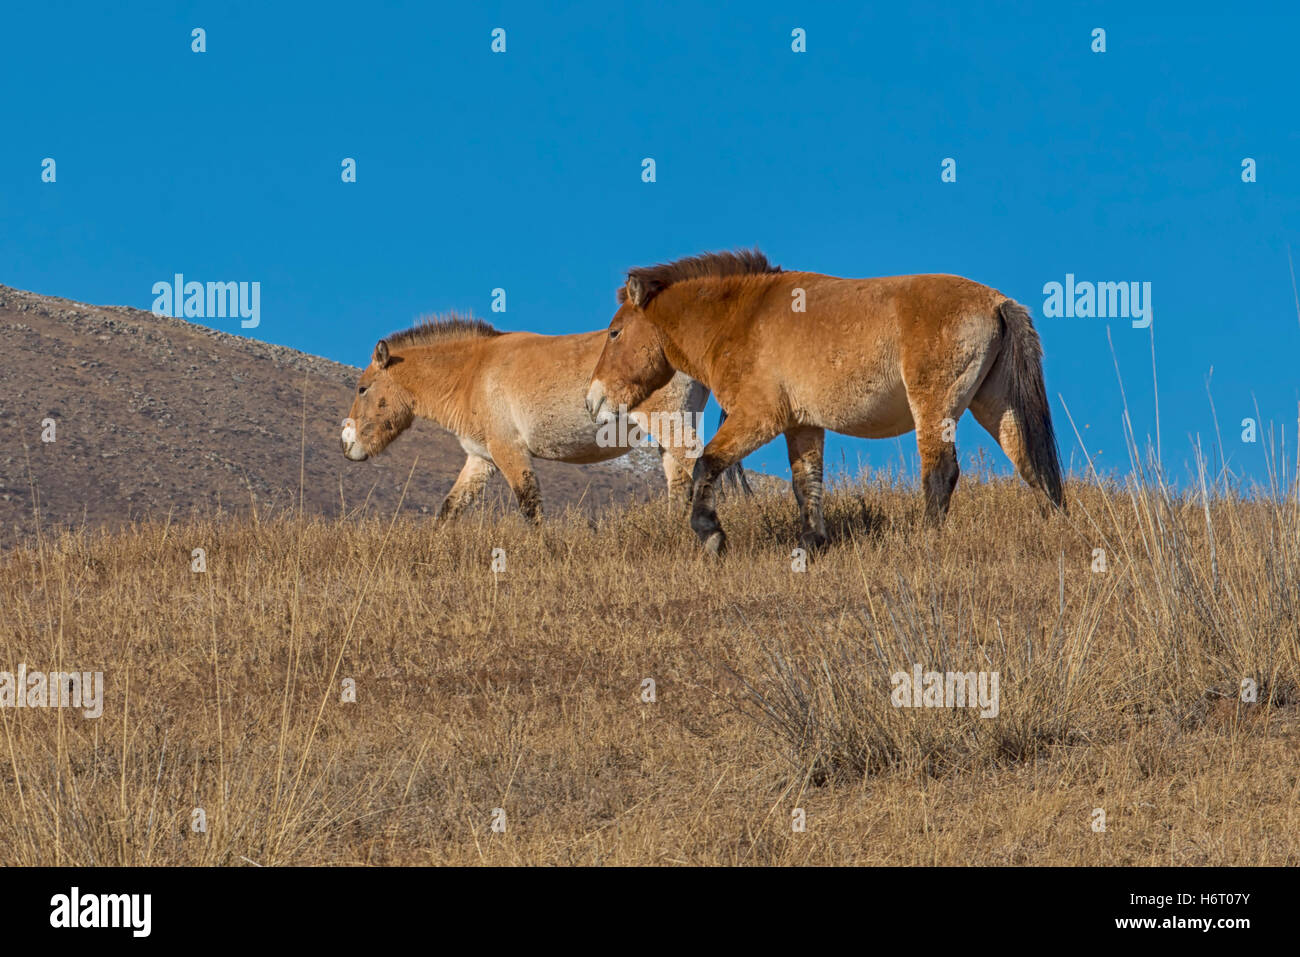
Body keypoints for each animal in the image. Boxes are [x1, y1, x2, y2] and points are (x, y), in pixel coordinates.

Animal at [340, 314, 728, 522]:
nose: (346, 444)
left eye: (362, 388)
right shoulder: (481, 459)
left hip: (666, 423)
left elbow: (530, 505)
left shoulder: (509, 452)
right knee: (679, 479)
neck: (472, 372)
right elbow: (450, 508)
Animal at [590, 250, 1066, 556]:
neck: (743, 317)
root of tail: (997, 302)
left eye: (614, 332)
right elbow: (807, 485)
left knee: (941, 474)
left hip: (935, 407)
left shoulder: (758, 418)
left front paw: (710, 536)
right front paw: (811, 544)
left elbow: (706, 463)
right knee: (1030, 465)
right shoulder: (802, 425)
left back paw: (927, 542)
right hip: (994, 405)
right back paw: (1052, 529)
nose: (594, 398)